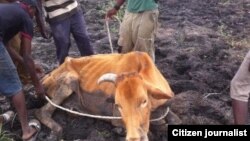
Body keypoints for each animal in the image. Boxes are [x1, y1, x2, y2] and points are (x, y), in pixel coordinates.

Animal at [35, 51, 174, 141]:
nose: (133, 137)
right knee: (42, 112)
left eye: (144, 101)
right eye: (118, 105)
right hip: (69, 80)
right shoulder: (116, 119)